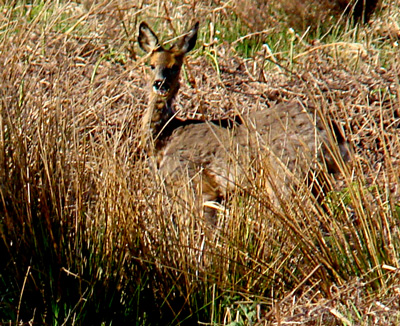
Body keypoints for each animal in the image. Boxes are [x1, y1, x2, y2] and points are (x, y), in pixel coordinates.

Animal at [138, 21, 350, 222]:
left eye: (174, 67)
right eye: (151, 65)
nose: (159, 84)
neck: (166, 137)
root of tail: (330, 132)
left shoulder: (194, 184)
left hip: (288, 171)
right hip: (316, 180)